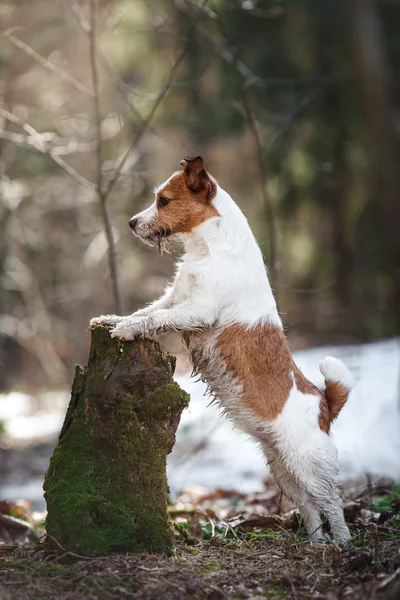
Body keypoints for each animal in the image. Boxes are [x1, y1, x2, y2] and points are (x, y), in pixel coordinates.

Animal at [90, 156, 354, 544]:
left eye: (163, 201)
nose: (131, 223)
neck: (209, 249)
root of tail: (324, 404)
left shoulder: (196, 310)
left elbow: (156, 318)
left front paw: (126, 330)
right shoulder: (175, 297)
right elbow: (146, 311)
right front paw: (113, 319)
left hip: (308, 464)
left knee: (332, 503)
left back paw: (342, 543)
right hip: (282, 467)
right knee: (308, 505)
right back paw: (316, 542)